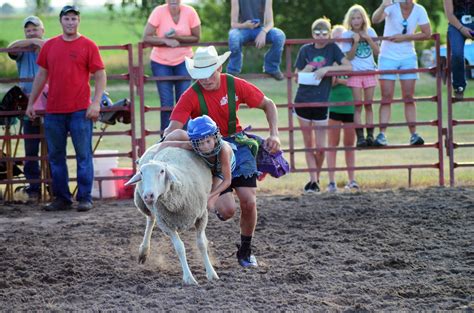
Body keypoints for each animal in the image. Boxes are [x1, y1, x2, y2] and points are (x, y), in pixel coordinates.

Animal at [128, 145, 220, 284]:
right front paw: (188, 278)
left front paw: (211, 273)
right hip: (145, 206)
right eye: (142, 173)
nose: (148, 195)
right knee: (150, 220)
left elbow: (201, 244)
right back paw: (144, 251)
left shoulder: (202, 216)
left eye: (162, 171)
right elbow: (180, 248)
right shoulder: (165, 224)